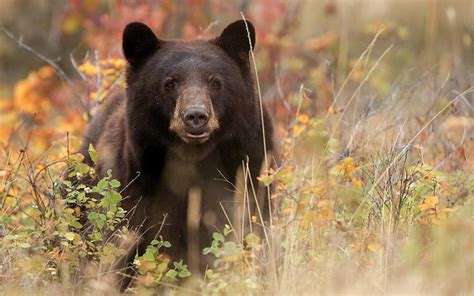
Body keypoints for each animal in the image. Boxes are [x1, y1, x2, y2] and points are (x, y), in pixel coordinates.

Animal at [78, 19, 274, 278]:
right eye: (170, 83)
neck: (193, 161)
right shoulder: (135, 189)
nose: (196, 116)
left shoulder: (250, 170)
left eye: (215, 82)